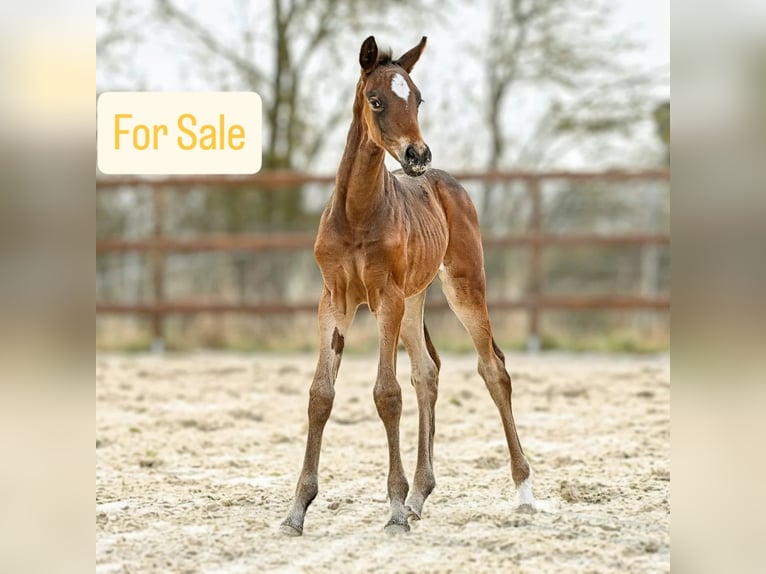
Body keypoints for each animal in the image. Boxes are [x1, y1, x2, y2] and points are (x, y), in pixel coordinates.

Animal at [279, 35, 535, 536]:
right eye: (377, 100)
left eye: (417, 99)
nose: (418, 155)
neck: (358, 213)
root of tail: (445, 181)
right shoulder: (334, 301)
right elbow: (321, 395)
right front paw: (297, 511)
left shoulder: (386, 299)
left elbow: (386, 394)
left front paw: (394, 509)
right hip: (416, 298)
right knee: (428, 373)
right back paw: (421, 495)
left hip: (461, 285)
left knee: (492, 368)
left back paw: (523, 492)